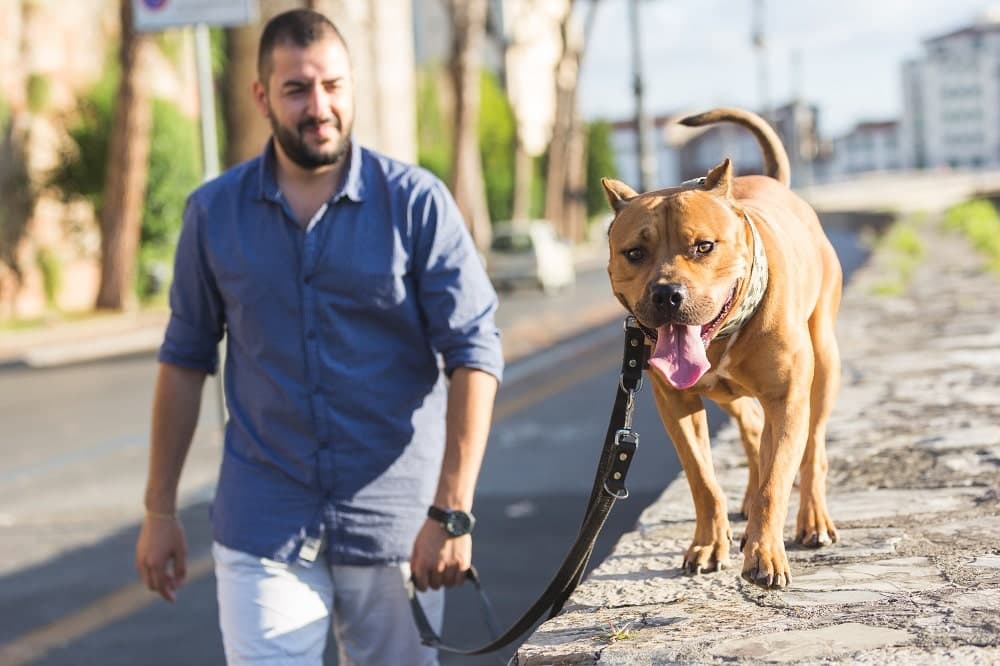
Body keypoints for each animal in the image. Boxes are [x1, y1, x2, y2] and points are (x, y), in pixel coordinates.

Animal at [604, 107, 840, 588]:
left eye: (704, 246)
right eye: (634, 253)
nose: (667, 294)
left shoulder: (788, 399)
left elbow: (776, 481)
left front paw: (765, 553)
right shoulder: (675, 403)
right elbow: (703, 479)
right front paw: (710, 544)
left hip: (824, 365)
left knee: (812, 450)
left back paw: (812, 519)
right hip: (726, 394)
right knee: (752, 429)